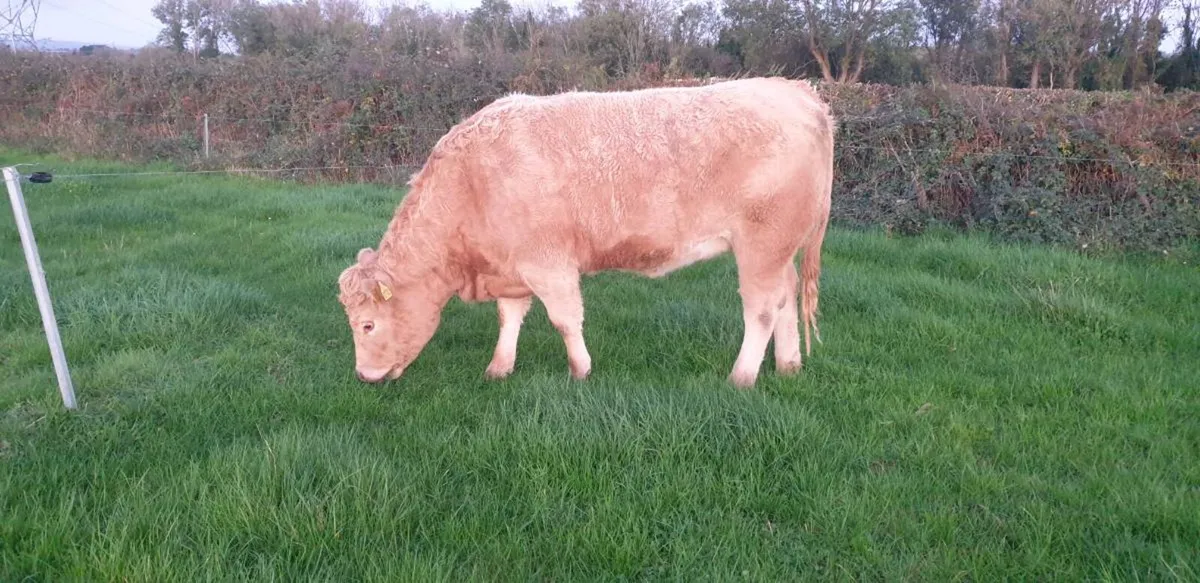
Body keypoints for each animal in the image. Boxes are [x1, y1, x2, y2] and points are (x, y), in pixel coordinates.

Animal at [337, 76, 836, 389]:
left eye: (367, 324)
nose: (363, 376)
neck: (471, 182)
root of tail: (795, 90)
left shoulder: (549, 263)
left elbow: (564, 319)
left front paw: (580, 370)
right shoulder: (511, 265)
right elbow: (510, 317)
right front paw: (499, 368)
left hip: (761, 244)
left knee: (762, 309)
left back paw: (742, 377)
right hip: (779, 249)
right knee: (785, 296)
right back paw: (788, 365)